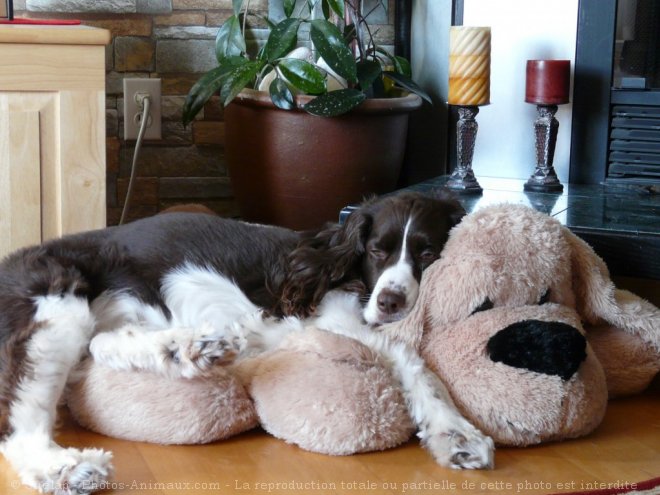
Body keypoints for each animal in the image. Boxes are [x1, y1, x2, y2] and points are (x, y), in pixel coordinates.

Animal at [0, 192, 488, 494]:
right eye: (375, 251)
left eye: (428, 253)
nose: (390, 302)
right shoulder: (331, 319)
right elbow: (411, 359)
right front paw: (460, 432)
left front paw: (454, 436)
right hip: (59, 302)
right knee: (20, 431)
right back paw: (70, 469)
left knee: (103, 343)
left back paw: (190, 347)